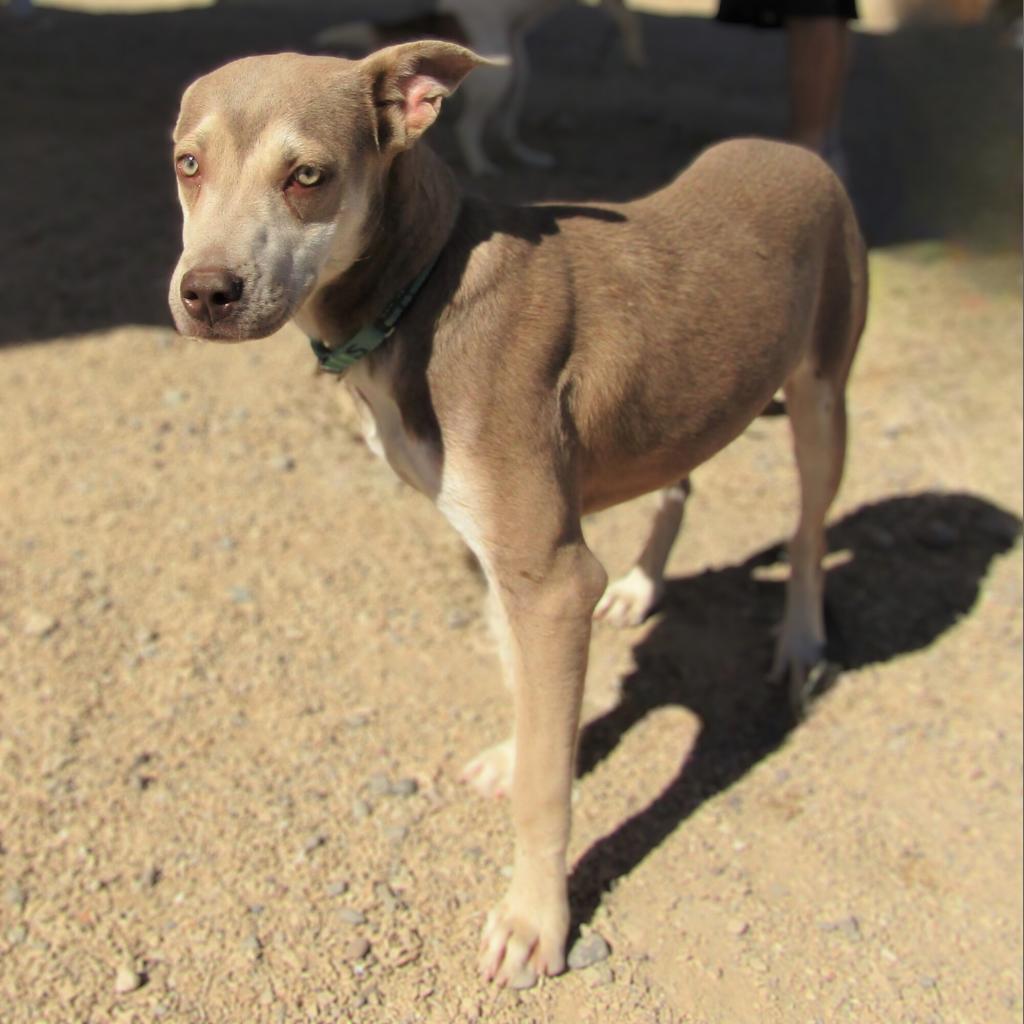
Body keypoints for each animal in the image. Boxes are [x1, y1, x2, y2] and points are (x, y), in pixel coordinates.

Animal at [169, 41, 872, 991]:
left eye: (307, 175)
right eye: (187, 164)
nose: (206, 292)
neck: (422, 287)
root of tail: (798, 153)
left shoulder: (551, 575)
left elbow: (547, 785)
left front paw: (537, 919)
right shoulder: (498, 556)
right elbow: (518, 683)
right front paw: (517, 747)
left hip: (823, 397)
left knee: (806, 534)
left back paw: (802, 641)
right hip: (690, 402)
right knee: (681, 483)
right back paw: (643, 587)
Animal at [315, 0, 643, 174]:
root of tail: (447, 15)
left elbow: (626, 17)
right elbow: (626, 18)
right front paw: (634, 55)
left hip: (517, 69)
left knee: (504, 125)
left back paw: (526, 155)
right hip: (499, 73)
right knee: (468, 127)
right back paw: (482, 166)